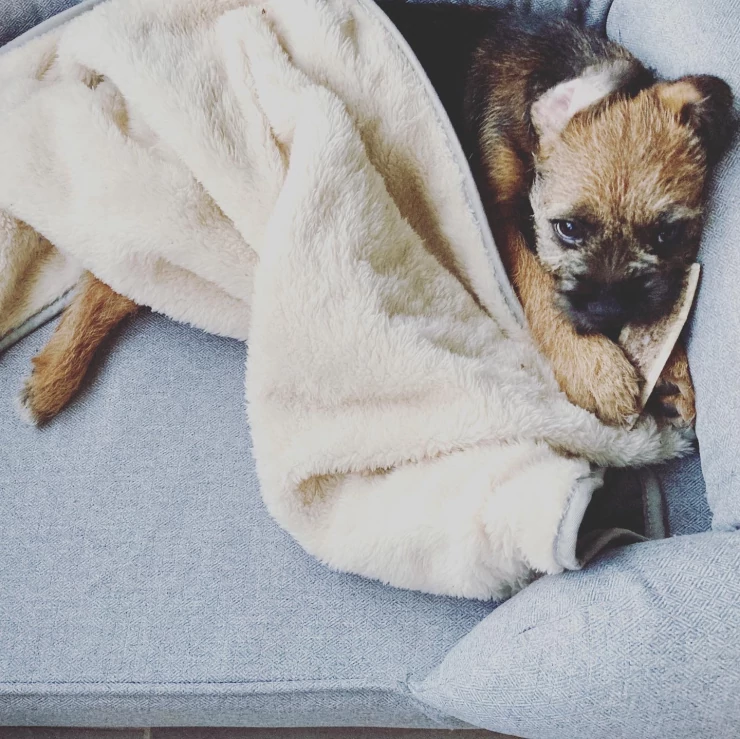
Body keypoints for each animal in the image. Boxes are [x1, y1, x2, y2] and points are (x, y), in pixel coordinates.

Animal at [19, 3, 734, 427]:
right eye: (568, 228)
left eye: (669, 232)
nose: (610, 313)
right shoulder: (497, 212)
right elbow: (533, 280)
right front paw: (595, 368)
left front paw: (671, 371)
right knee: (113, 276)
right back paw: (56, 371)